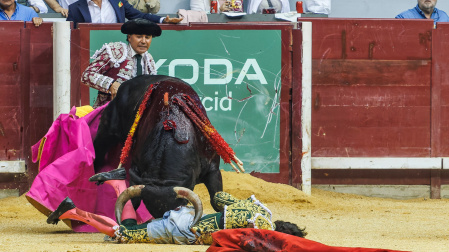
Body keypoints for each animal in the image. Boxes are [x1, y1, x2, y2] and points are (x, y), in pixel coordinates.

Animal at [93, 74, 224, 217]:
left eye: (178, 207)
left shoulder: (212, 168)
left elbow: (216, 201)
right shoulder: (136, 172)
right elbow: (133, 202)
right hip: (108, 130)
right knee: (98, 149)